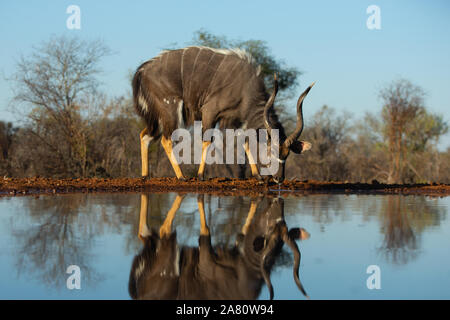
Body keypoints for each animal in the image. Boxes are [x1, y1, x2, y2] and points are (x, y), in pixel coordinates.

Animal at [128, 194, 308, 302]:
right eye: (271, 228)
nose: (279, 200)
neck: (245, 269)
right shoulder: (206, 261)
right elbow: (205, 232)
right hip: (170, 251)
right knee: (163, 232)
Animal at [132, 47, 312, 182]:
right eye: (272, 152)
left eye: (287, 154)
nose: (279, 179)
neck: (247, 88)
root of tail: (142, 71)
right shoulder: (210, 111)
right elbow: (207, 140)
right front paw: (200, 175)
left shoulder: (236, 120)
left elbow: (245, 142)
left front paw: (257, 176)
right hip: (171, 109)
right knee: (165, 139)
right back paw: (181, 176)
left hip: (157, 117)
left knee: (144, 135)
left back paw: (145, 175)